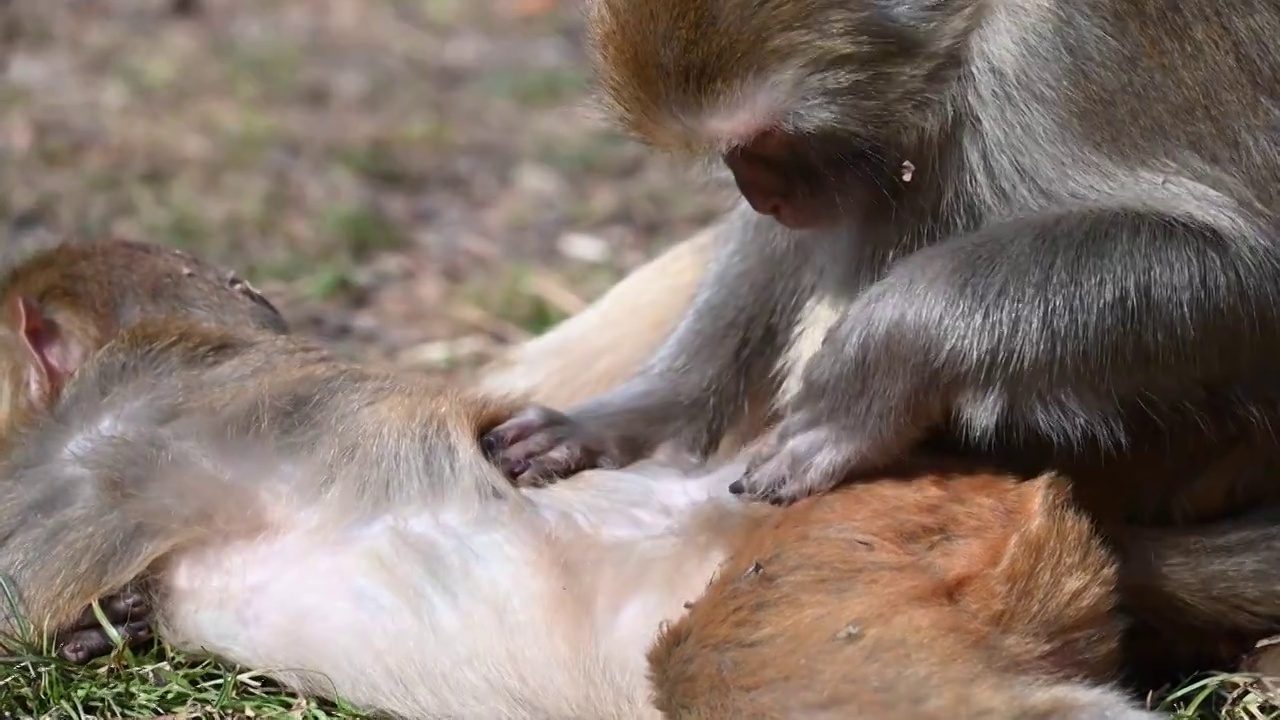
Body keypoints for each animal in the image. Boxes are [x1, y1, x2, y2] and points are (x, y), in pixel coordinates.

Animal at [481, 0, 1280, 509]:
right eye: (734, 151)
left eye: (769, 140)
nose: (756, 191)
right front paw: (648, 410)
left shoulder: (1065, 51)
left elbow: (1243, 276)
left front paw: (862, 375)